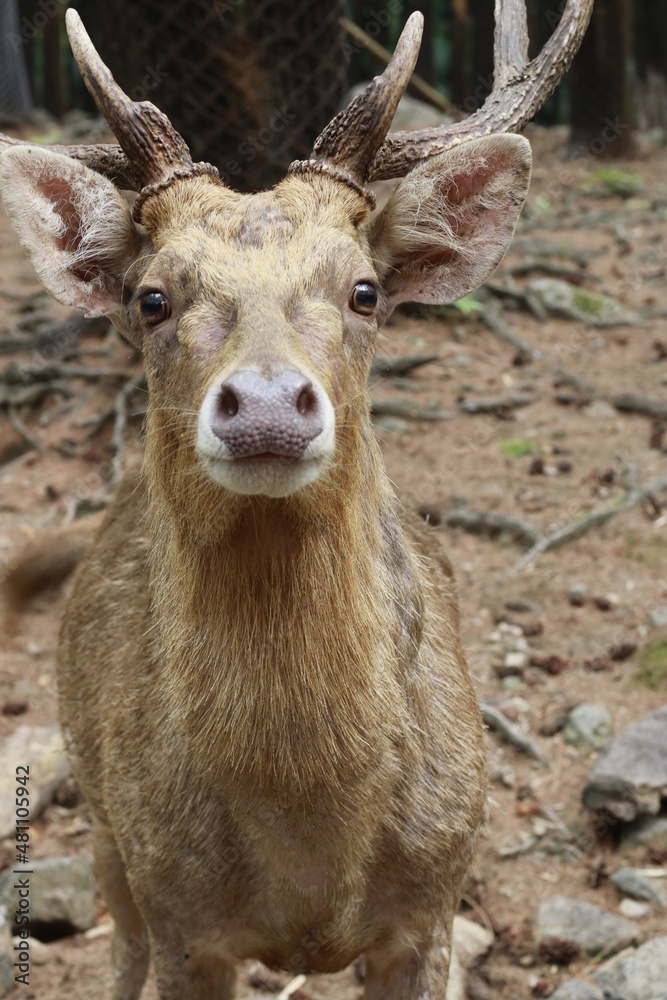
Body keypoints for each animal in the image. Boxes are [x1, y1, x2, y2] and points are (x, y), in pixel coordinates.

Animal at [0, 3, 596, 996]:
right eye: (150, 297)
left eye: (365, 290)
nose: (270, 404)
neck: (311, 839)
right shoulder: (182, 918)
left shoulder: (434, 901)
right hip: (100, 810)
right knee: (117, 947)